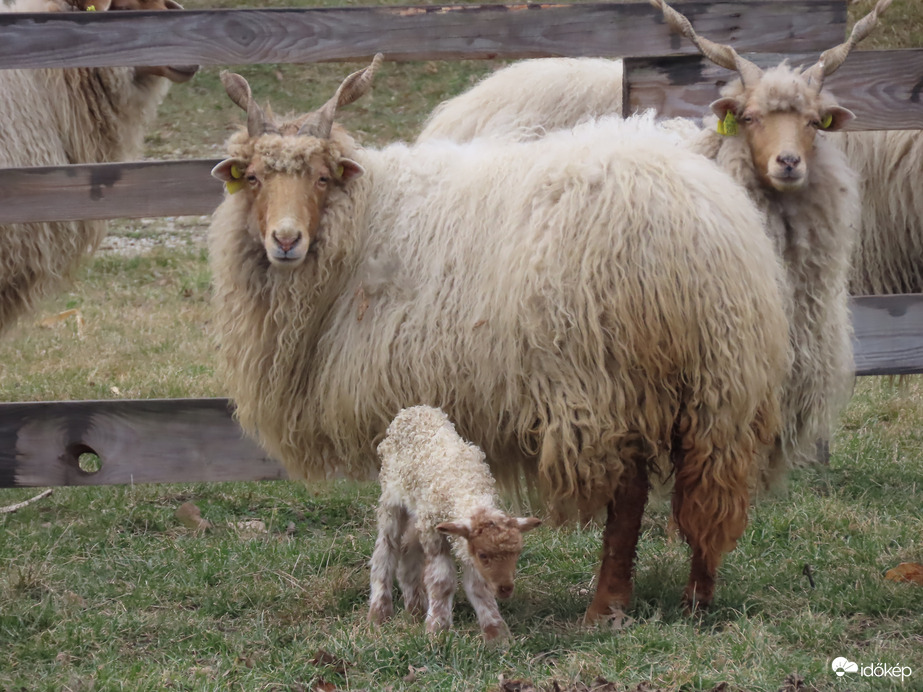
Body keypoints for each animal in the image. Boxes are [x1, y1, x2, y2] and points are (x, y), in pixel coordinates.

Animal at [209, 55, 796, 616]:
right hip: (719, 386)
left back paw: (605, 607)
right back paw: (697, 598)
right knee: (709, 492)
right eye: (253, 177)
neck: (367, 218)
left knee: (629, 496)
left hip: (608, 377)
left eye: (323, 177)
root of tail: (703, 224)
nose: (286, 240)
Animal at [368, 406, 540, 644]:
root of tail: (413, 410)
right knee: (385, 551)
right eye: (484, 555)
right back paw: (379, 614)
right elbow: (442, 581)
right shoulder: (433, 531)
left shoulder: (460, 539)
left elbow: (478, 586)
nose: (505, 589)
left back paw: (415, 610)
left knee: (407, 551)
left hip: (416, 511)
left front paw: (496, 634)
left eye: (517, 553)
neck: (463, 482)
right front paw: (437, 629)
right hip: (392, 501)